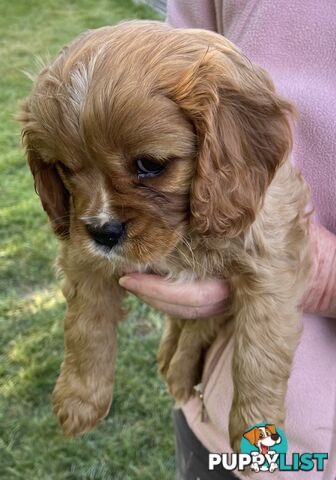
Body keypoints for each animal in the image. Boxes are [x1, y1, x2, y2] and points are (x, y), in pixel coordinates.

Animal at [18, 20, 312, 452]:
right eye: (66, 169)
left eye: (149, 165)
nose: (103, 232)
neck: (184, 236)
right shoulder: (82, 255)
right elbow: (86, 326)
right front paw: (79, 400)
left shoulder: (271, 268)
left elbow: (259, 353)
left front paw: (256, 429)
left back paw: (179, 369)